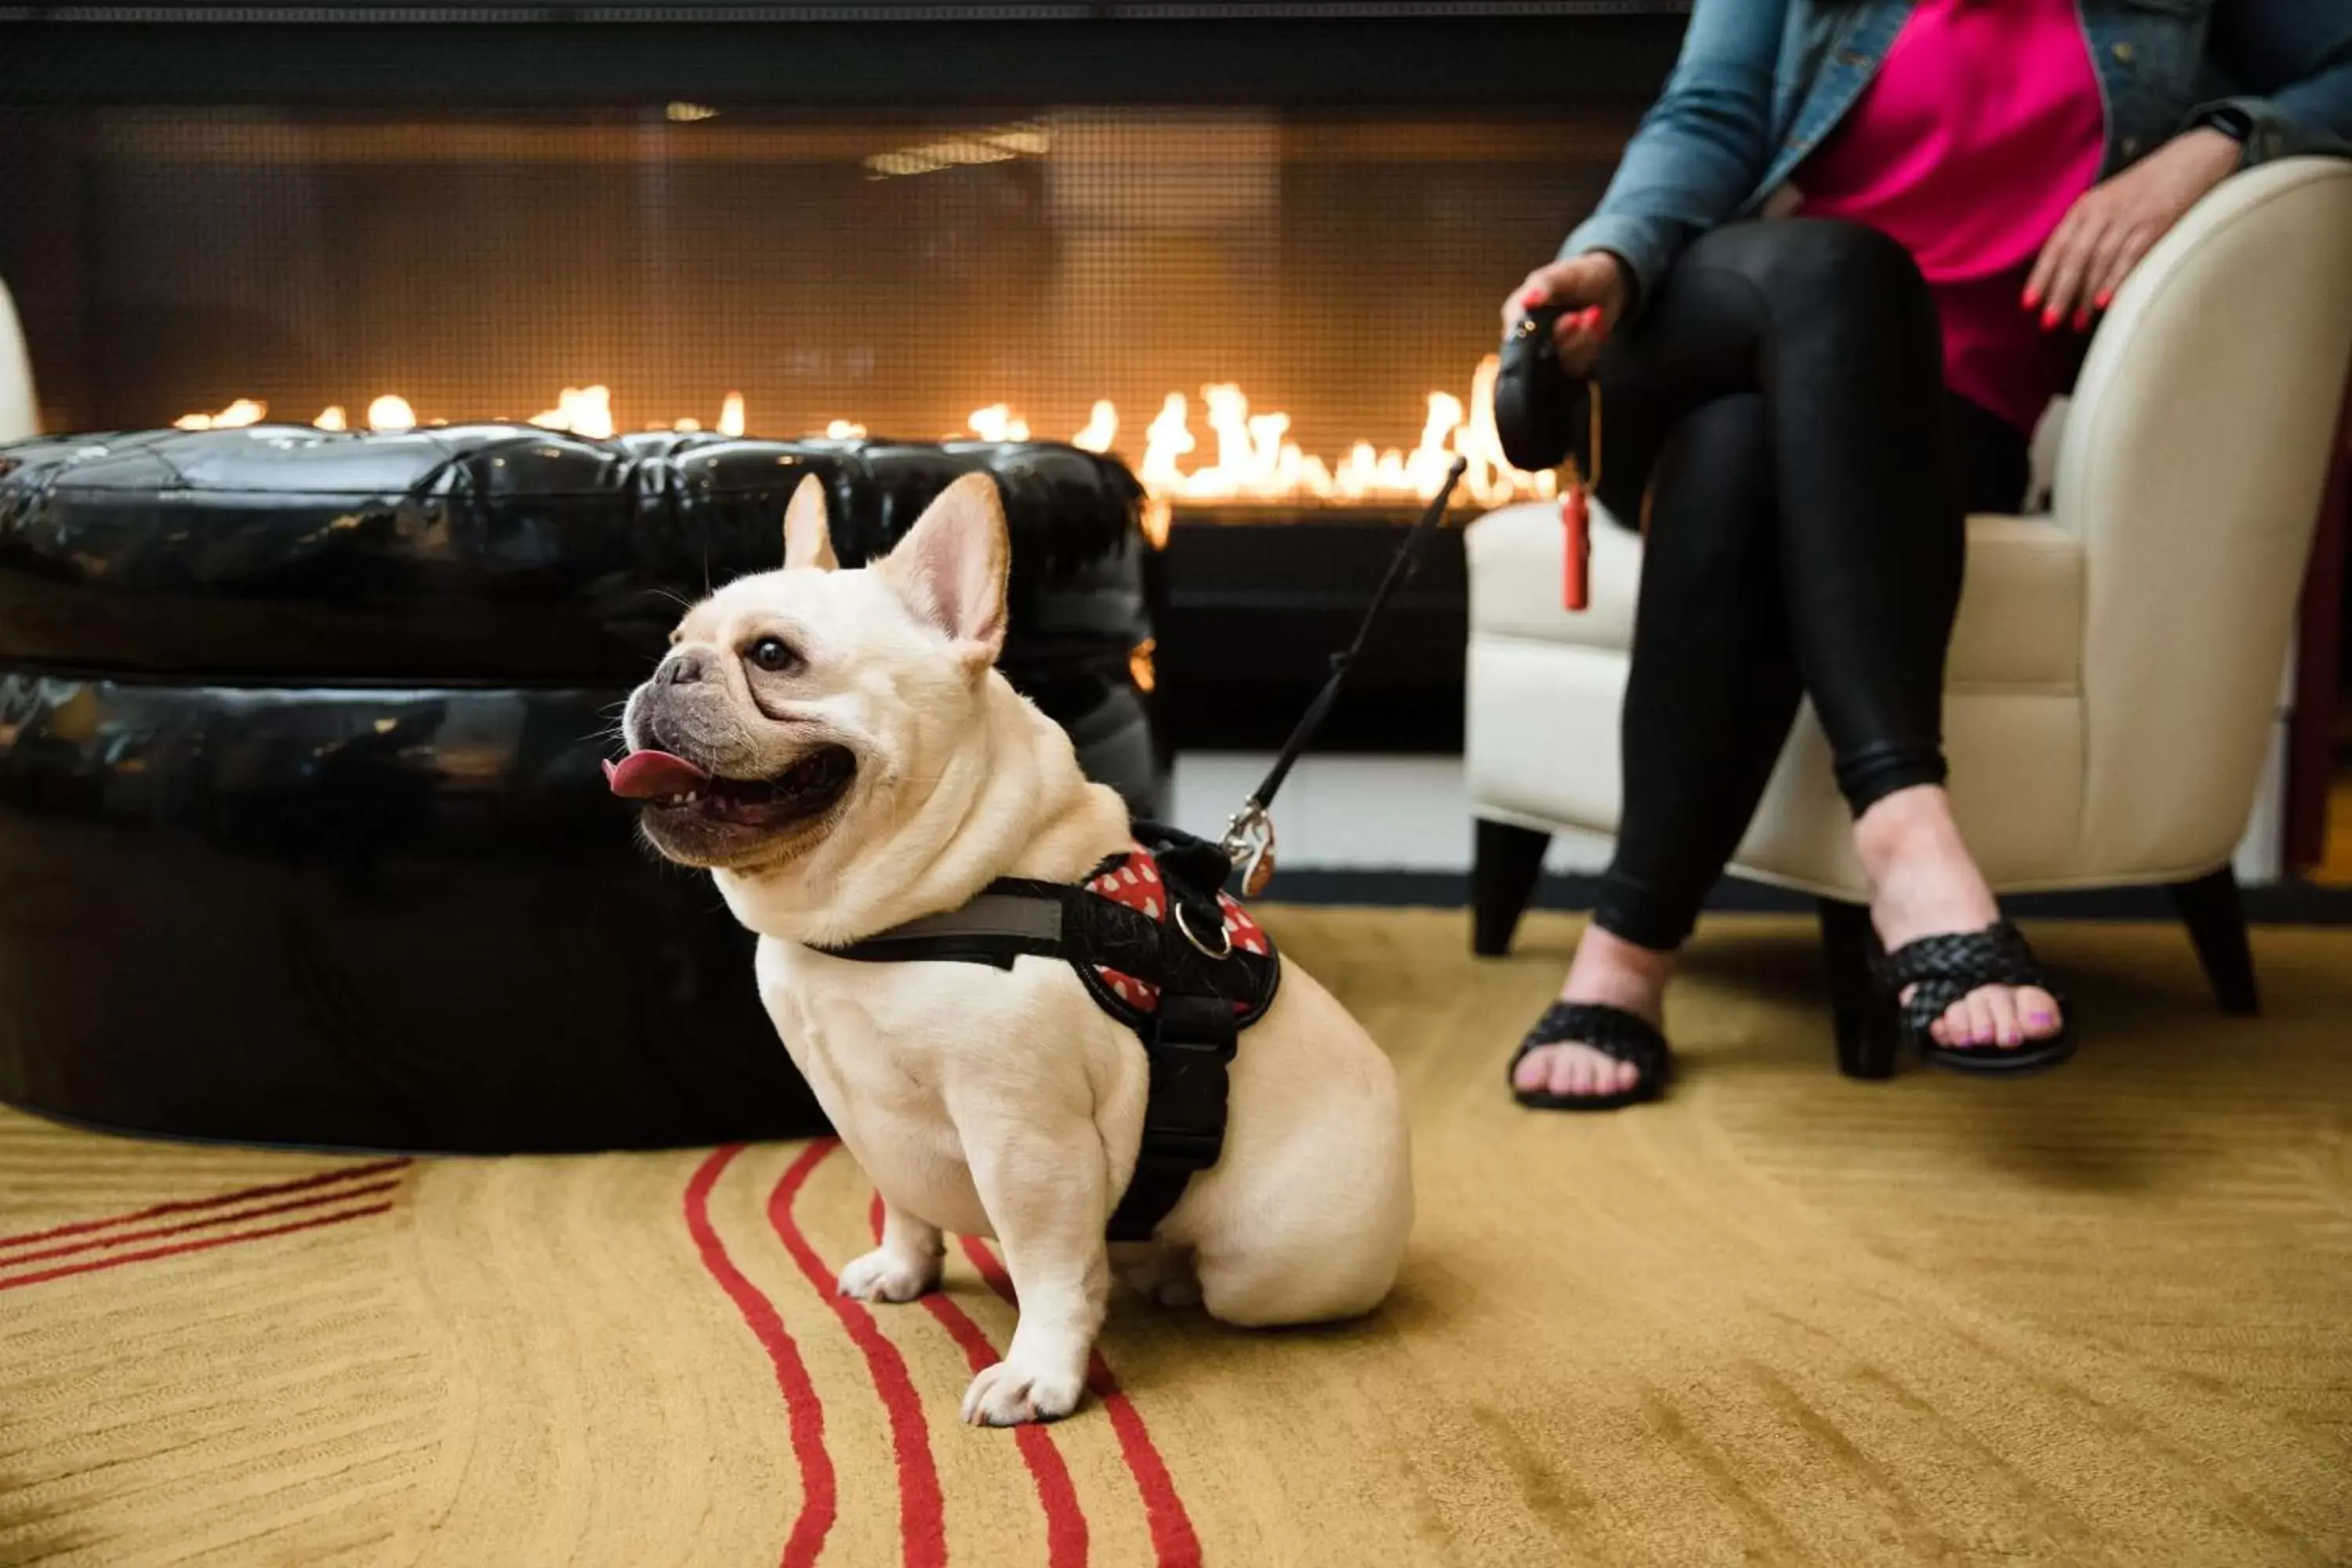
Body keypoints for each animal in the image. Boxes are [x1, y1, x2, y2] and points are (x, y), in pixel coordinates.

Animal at [616, 472, 1402, 1429]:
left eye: (772, 655)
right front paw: (905, 1269)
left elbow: (1050, 1269)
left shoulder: (1026, 1137)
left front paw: (1040, 1372)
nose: (669, 671)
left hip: (1264, 1268)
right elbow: (903, 1202)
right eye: (674, 642)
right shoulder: (861, 1114)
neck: (902, 911)